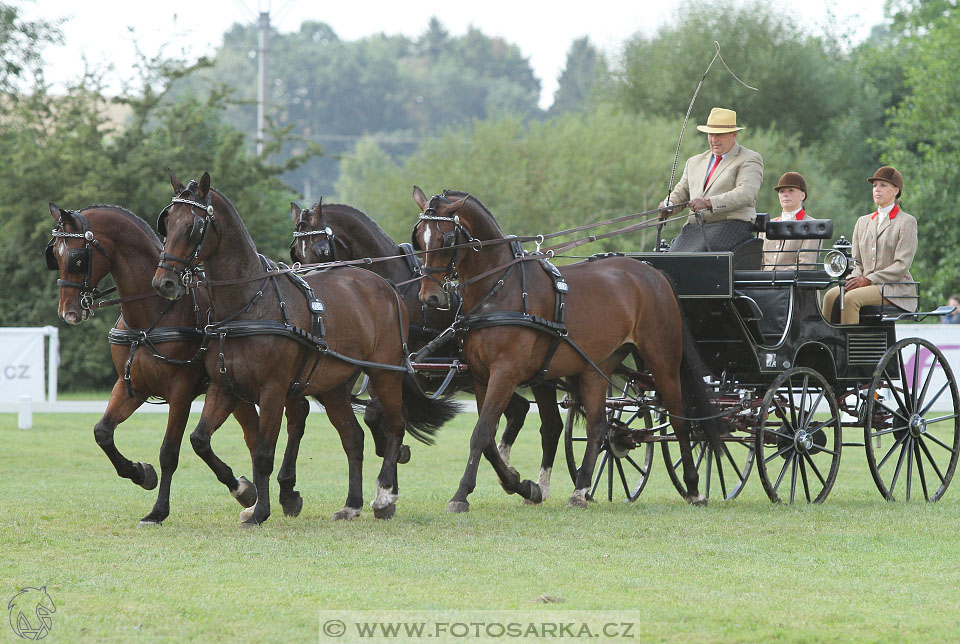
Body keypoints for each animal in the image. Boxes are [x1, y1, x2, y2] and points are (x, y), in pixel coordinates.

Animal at [44, 204, 308, 524]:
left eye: (77, 257)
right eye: (54, 255)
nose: (68, 312)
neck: (152, 315)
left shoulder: (180, 392)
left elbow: (169, 452)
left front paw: (158, 511)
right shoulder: (132, 386)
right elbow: (103, 433)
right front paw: (140, 473)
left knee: (295, 417)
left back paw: (285, 493)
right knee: (253, 434)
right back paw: (250, 494)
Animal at [152, 171, 460, 524]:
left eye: (194, 226)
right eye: (167, 222)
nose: (164, 281)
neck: (249, 303)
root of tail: (386, 286)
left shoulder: (273, 390)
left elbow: (263, 452)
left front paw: (260, 511)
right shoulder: (224, 386)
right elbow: (200, 440)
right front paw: (246, 492)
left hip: (385, 373)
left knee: (395, 425)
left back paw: (384, 497)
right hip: (334, 385)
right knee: (353, 438)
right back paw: (352, 503)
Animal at [284, 201, 564, 498]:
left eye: (323, 249)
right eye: (296, 252)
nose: (311, 292)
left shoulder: (403, 368)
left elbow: (380, 414)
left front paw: (393, 469)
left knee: (548, 424)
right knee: (520, 410)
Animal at [412, 187, 720, 512]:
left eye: (447, 238)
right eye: (419, 236)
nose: (430, 297)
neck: (499, 289)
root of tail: (653, 271)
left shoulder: (505, 373)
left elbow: (481, 433)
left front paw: (462, 494)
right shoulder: (482, 376)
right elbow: (489, 439)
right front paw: (522, 485)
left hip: (663, 361)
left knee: (680, 421)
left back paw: (693, 488)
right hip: (596, 368)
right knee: (598, 426)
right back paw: (580, 490)